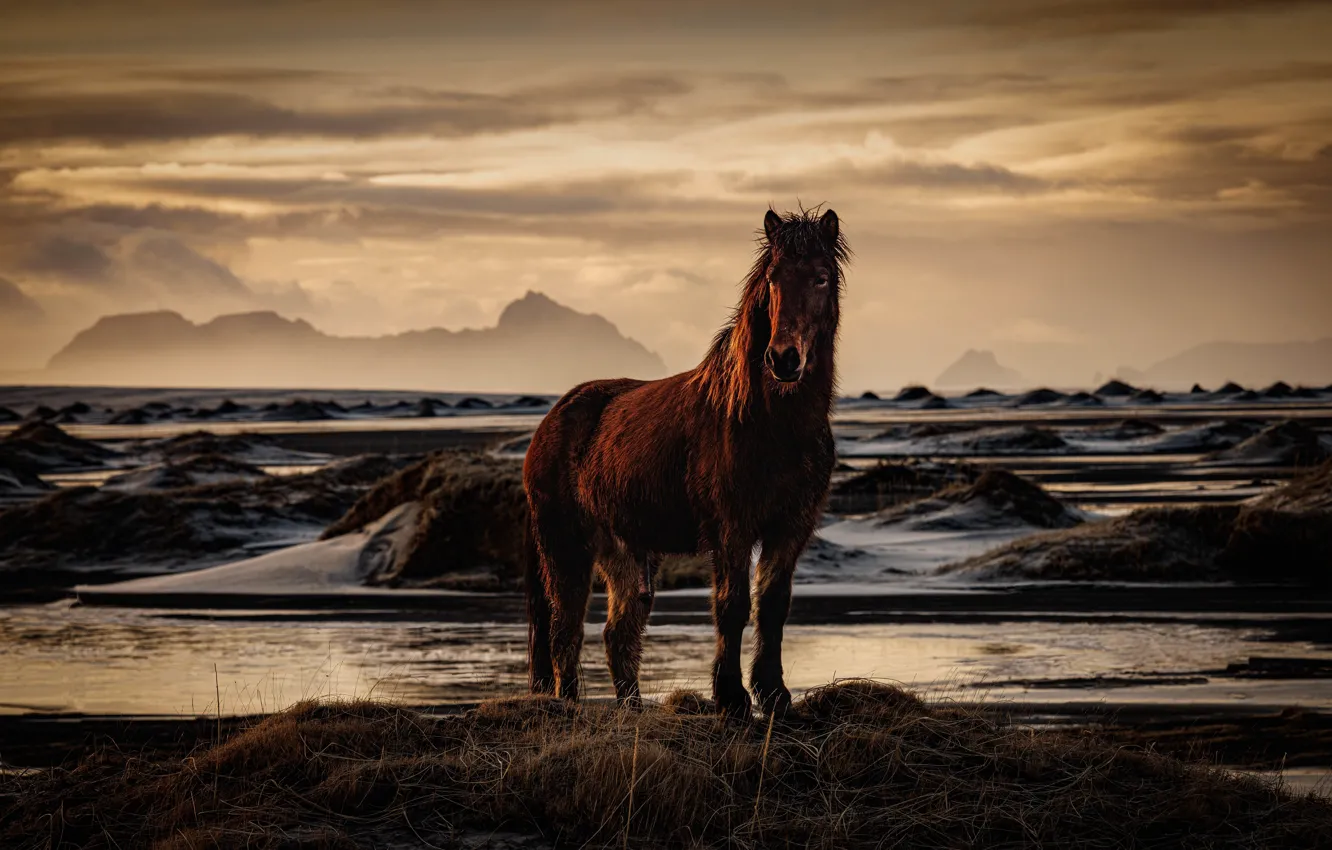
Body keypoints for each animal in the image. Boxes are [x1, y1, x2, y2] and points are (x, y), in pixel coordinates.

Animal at [523, 206, 847, 718]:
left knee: (618, 633)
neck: (768, 423)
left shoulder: (791, 527)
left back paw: (633, 710)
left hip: (623, 550)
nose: (783, 359)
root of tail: (551, 420)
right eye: (772, 279)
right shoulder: (732, 527)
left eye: (820, 278)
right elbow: (732, 606)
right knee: (564, 631)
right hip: (566, 547)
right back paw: (569, 706)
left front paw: (774, 695)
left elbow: (773, 606)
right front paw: (732, 698)